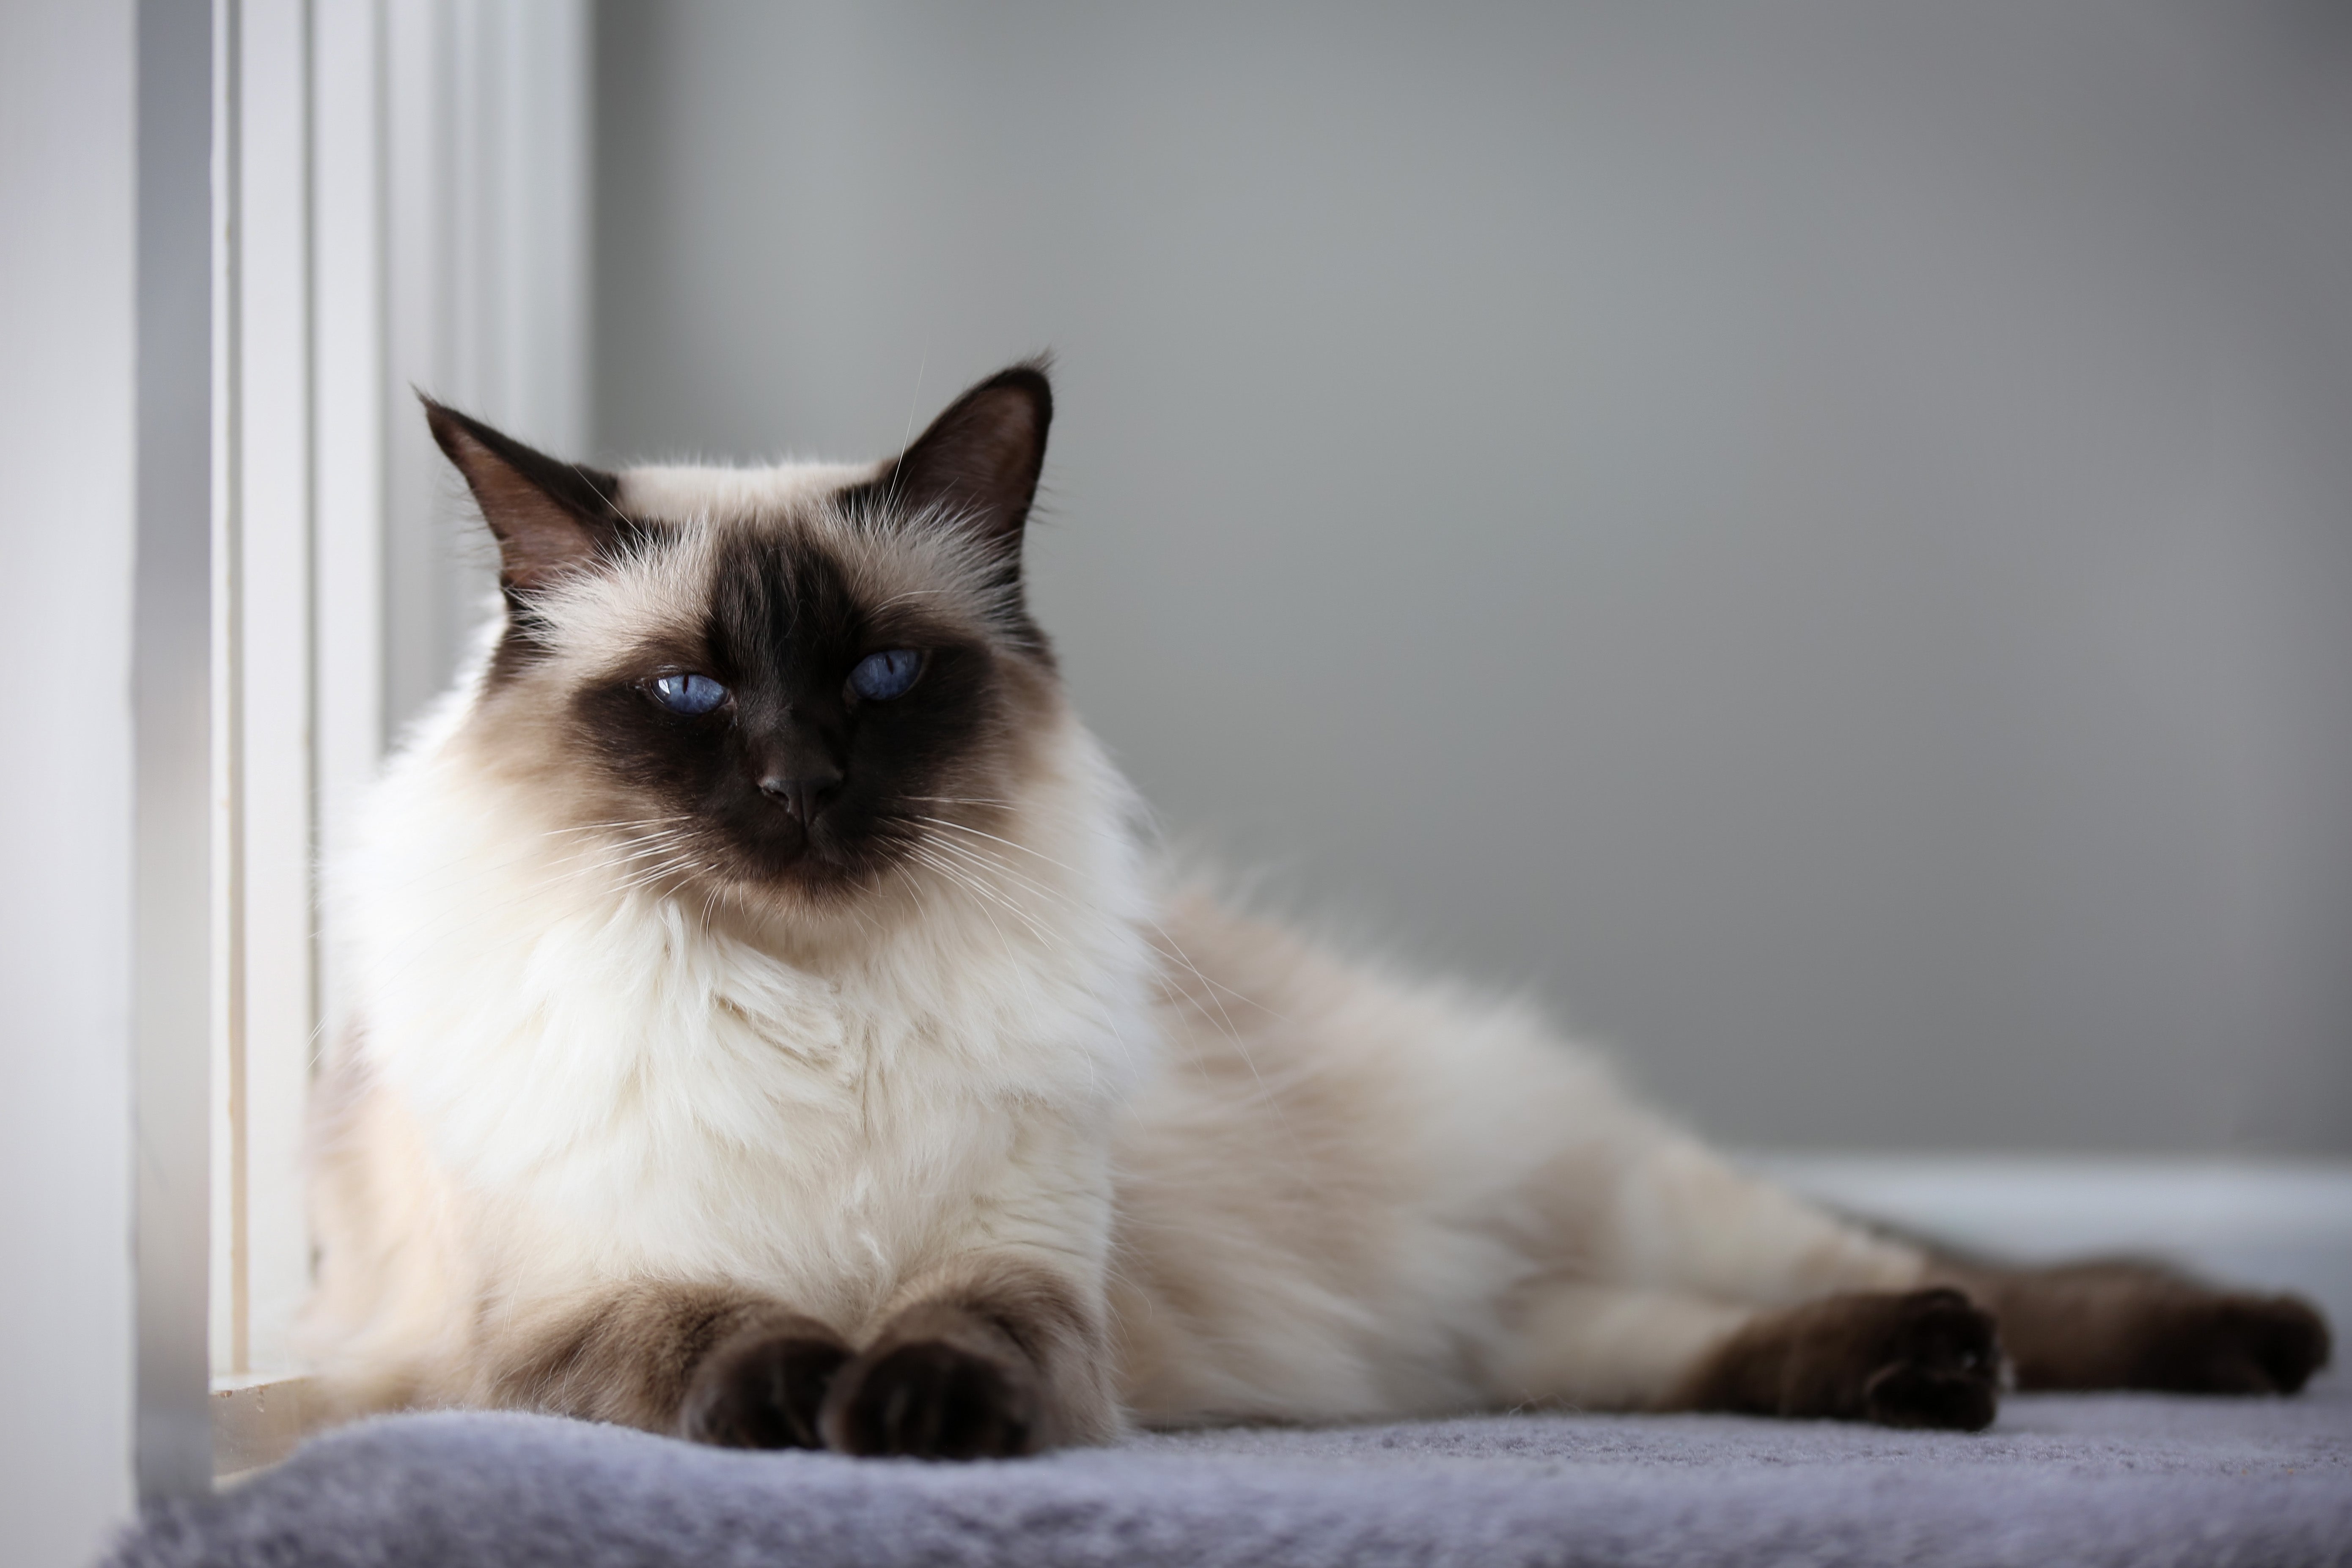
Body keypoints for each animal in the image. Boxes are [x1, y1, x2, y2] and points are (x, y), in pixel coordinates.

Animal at [299, 360, 2333, 1457]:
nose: (800, 786)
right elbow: (721, 1337)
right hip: (1498, 1337)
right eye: (693, 695)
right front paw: (821, 1399)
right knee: (1691, 1348)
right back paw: (1923, 1376)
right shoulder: (555, 1315)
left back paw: (2221, 1346)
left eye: (878, 679)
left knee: (1989, 1286)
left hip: (1639, 1211)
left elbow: (957, 1339)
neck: (810, 999)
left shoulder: (1027, 1276)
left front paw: (909, 1424)